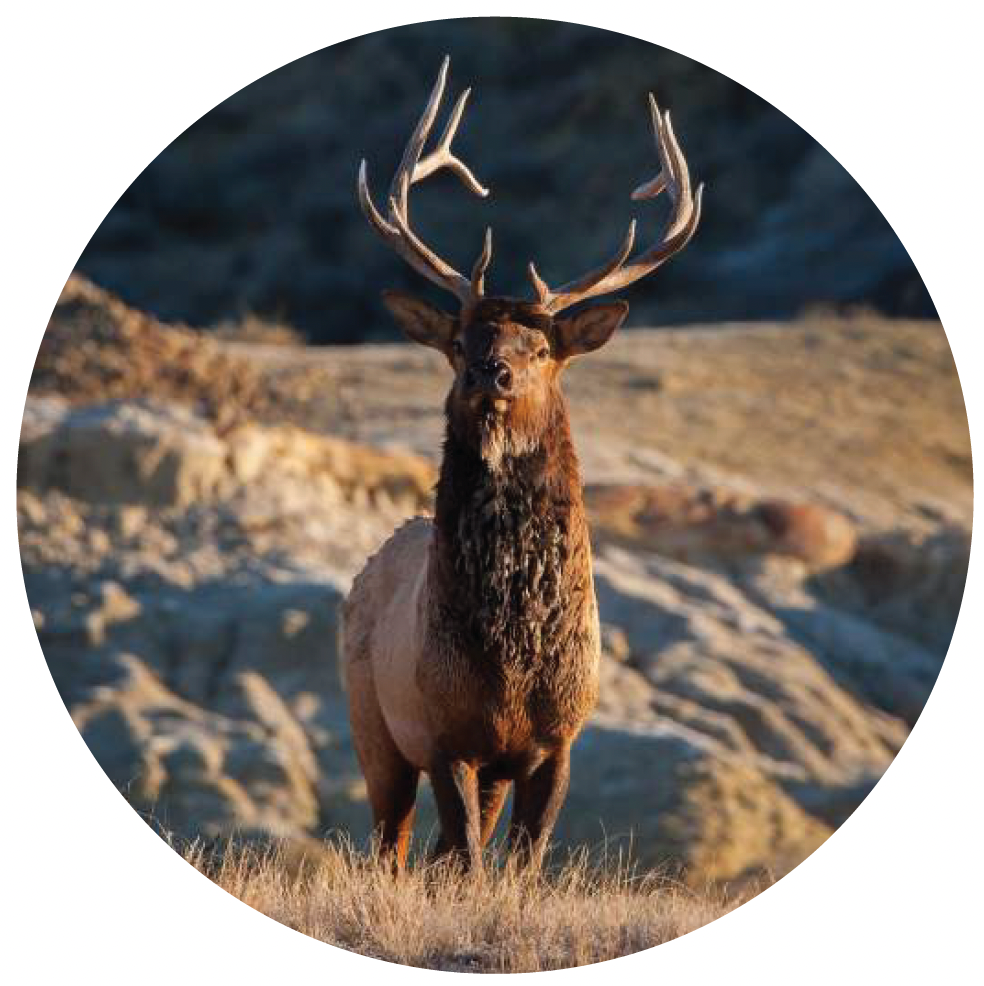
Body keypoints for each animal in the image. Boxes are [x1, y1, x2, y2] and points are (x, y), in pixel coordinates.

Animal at [342, 57, 702, 873]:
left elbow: (522, 864)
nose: (491, 371)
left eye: (540, 348)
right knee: (394, 846)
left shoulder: (557, 738)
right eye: (459, 341)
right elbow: (471, 861)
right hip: (373, 724)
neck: (513, 660)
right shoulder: (444, 731)